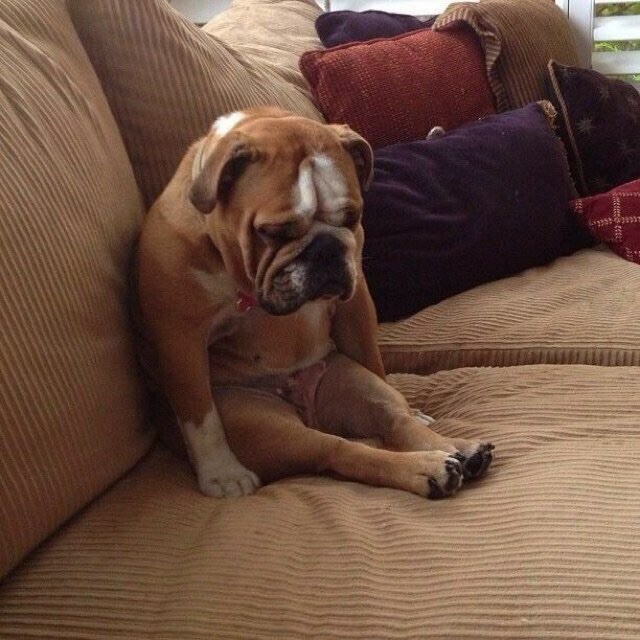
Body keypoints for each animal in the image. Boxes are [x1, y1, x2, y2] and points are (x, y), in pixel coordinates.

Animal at [136, 107, 493, 499]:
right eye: (272, 232)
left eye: (352, 218)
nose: (326, 247)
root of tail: (311, 413)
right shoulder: (180, 337)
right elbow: (201, 416)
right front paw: (222, 473)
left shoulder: (356, 306)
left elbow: (371, 358)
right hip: (267, 425)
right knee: (342, 450)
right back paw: (427, 469)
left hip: (353, 383)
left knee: (394, 422)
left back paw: (457, 449)